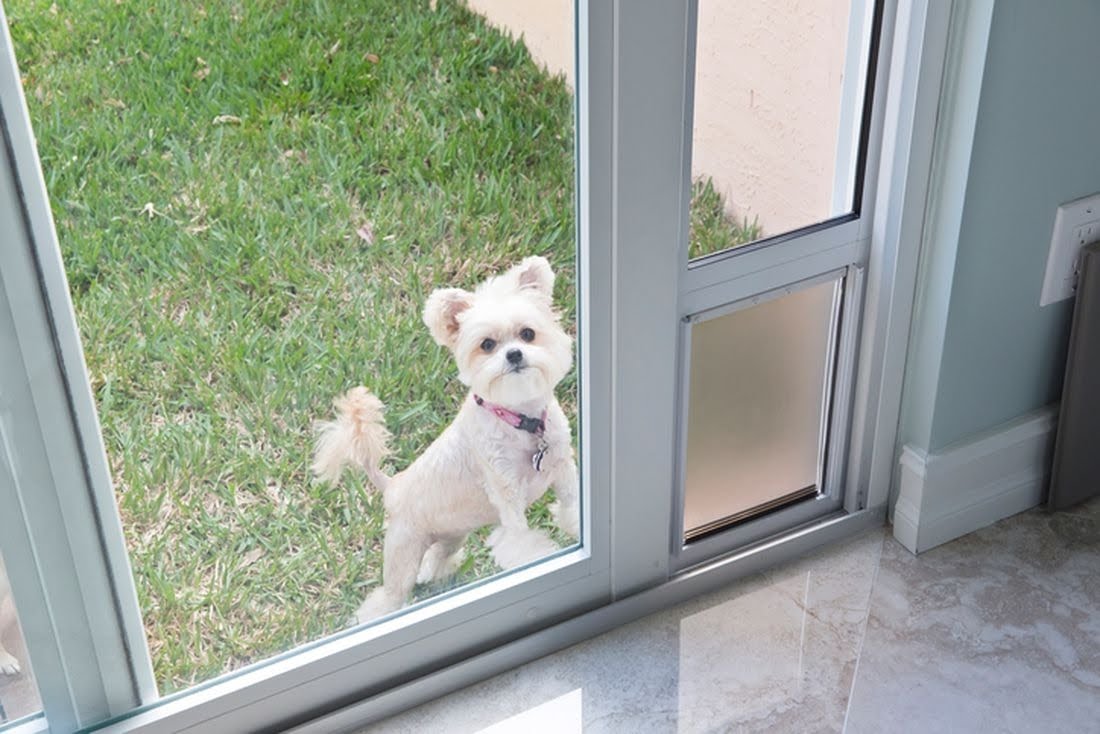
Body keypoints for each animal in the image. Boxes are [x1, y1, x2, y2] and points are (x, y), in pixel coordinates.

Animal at [312, 255, 580, 625]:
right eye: (487, 344)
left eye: (528, 333)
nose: (513, 354)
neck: (520, 421)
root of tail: (392, 484)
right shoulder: (505, 490)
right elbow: (520, 539)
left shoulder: (564, 466)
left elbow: (572, 505)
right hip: (402, 555)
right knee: (388, 597)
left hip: (451, 535)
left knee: (437, 557)